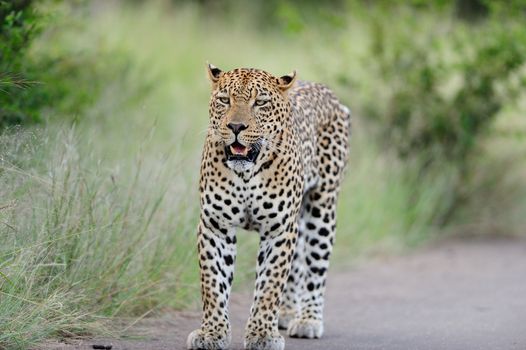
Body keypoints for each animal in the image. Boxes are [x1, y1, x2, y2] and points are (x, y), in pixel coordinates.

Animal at [188, 63, 352, 350]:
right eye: (224, 100)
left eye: (260, 102)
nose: (236, 126)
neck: (246, 173)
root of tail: (328, 92)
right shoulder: (215, 227)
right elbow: (213, 283)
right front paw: (212, 333)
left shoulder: (279, 230)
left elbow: (270, 285)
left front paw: (262, 335)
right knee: (296, 263)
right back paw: (286, 313)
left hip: (322, 207)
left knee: (316, 266)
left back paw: (308, 319)